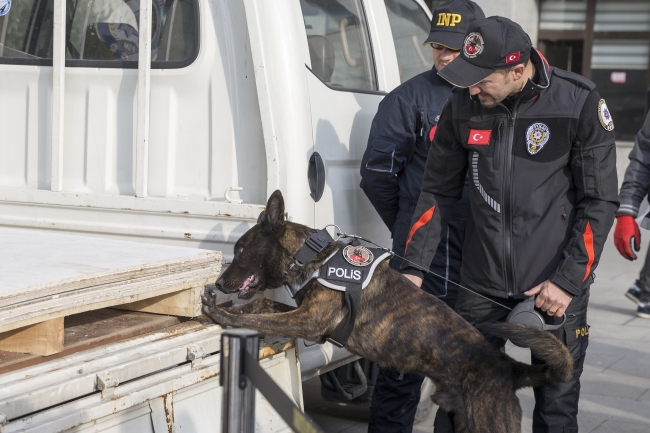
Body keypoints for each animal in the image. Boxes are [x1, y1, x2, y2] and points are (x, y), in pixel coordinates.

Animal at [200, 190, 568, 432]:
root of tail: (507, 367)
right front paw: (225, 309)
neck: (310, 256)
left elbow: (260, 316)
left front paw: (222, 315)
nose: (218, 281)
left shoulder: (309, 321)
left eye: (240, 250)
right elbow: (263, 306)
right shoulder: (304, 314)